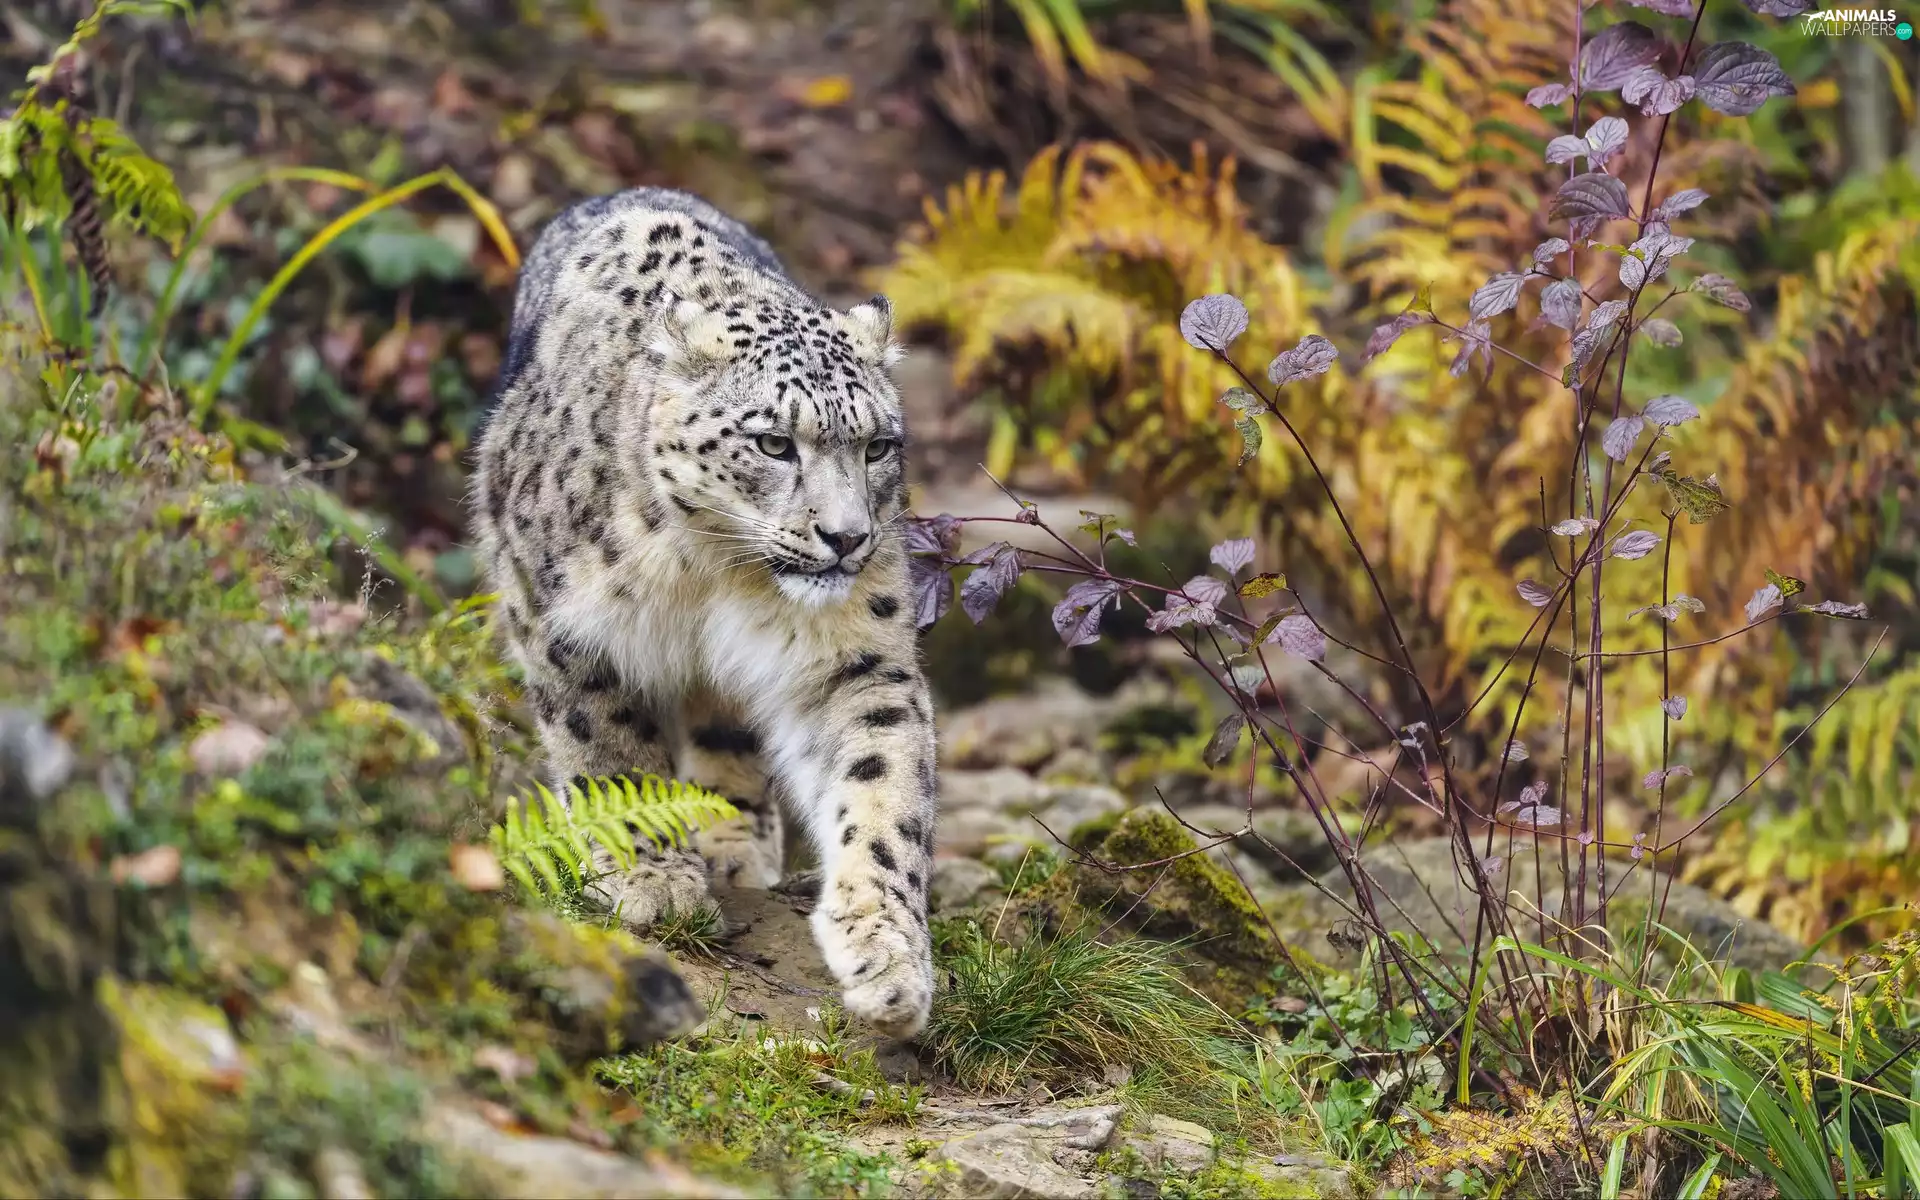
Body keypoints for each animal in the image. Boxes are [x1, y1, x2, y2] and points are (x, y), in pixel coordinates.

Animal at [470, 187, 938, 1039]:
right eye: (774, 442)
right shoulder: (565, 624)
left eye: (878, 446)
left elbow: (881, 787)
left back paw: (734, 841)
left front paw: (886, 956)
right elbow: (609, 749)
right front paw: (651, 878)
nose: (847, 537)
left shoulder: (858, 657)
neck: (718, 572)